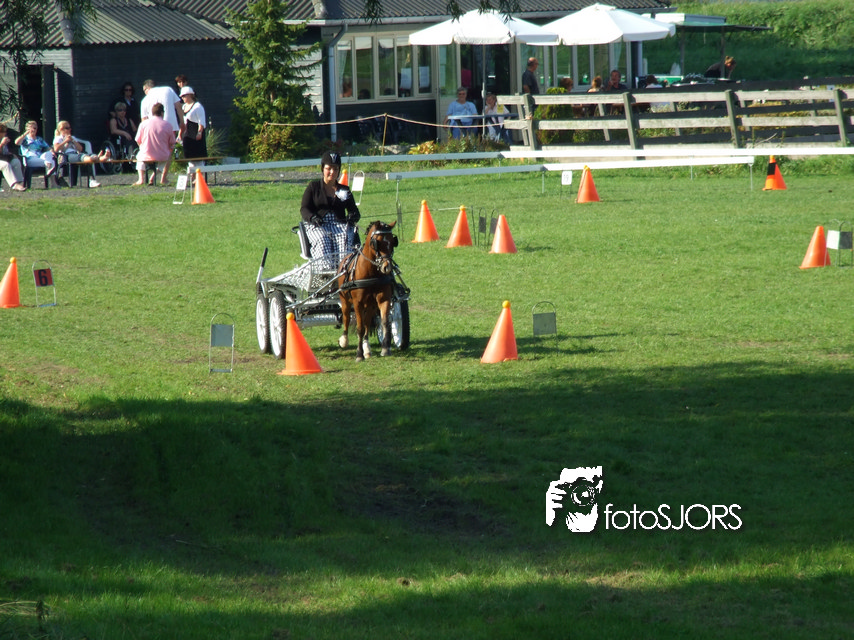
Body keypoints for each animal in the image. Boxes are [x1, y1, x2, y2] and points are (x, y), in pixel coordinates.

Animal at [337, 220, 399, 362]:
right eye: (377, 242)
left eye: (392, 241)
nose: (387, 267)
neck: (371, 272)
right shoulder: (357, 303)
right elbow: (359, 328)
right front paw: (359, 354)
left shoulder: (383, 299)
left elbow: (385, 322)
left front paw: (385, 348)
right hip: (345, 300)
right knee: (346, 317)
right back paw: (344, 340)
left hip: (370, 305)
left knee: (366, 323)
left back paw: (367, 348)